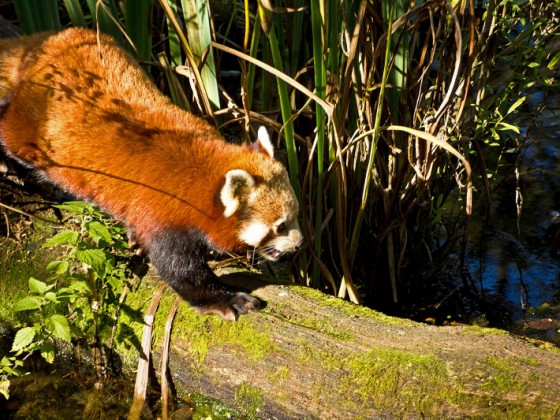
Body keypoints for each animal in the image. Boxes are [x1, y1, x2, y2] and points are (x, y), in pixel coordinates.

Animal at [0, 27, 302, 320]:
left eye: (296, 216)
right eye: (280, 226)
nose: (299, 245)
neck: (203, 177)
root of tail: (44, 43)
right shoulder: (163, 211)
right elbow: (180, 268)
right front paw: (223, 299)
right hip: (32, 124)